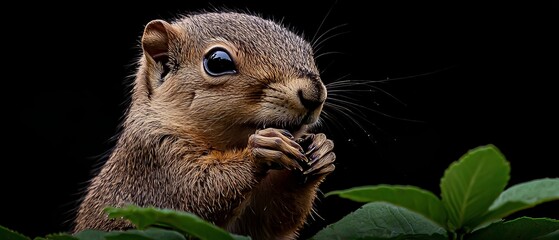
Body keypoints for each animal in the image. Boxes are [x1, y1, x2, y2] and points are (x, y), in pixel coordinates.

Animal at [74, 10, 336, 239]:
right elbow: (198, 192)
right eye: (218, 62)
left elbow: (270, 222)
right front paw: (263, 149)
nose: (314, 94)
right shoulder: (156, 160)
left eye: (307, 50)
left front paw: (323, 150)